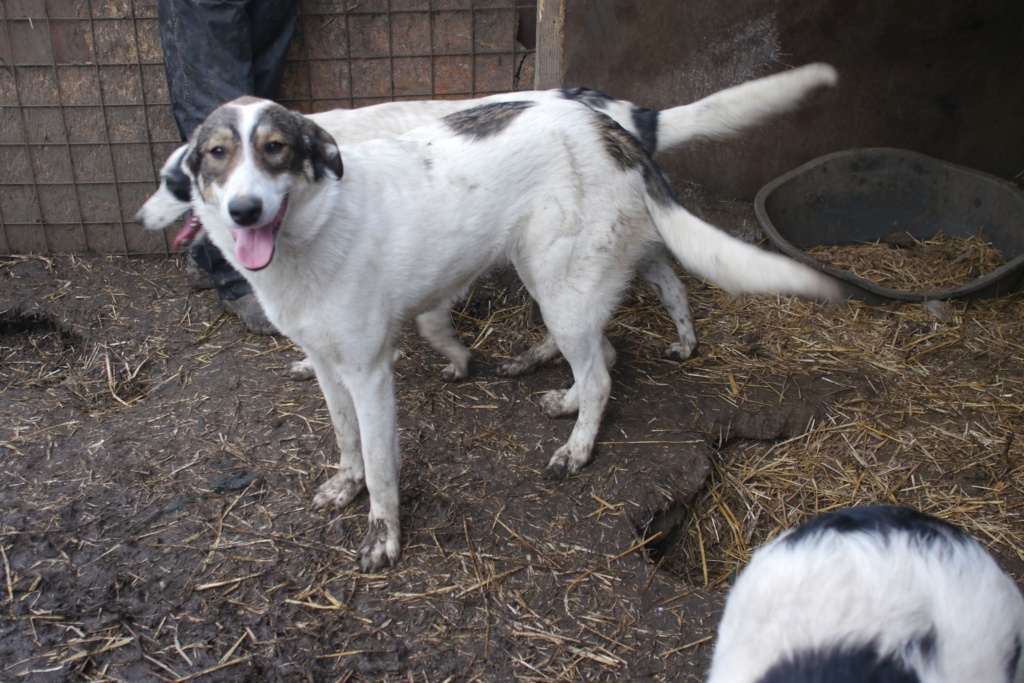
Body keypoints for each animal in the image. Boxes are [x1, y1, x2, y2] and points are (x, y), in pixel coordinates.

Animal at [136, 62, 839, 368]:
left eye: (173, 182)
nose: (142, 217)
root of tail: (624, 116)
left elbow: (428, 324)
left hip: (561, 255)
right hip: (619, 243)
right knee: (667, 282)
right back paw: (680, 340)